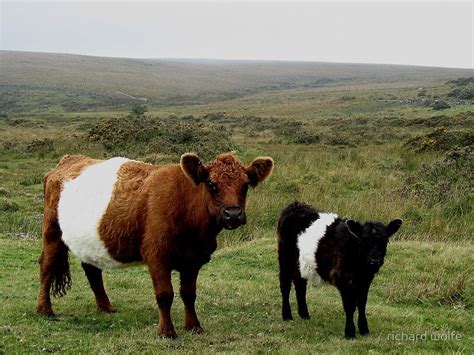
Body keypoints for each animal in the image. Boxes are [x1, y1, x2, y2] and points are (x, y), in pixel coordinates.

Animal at [36, 152, 274, 338]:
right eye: (211, 184)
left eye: (245, 186)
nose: (233, 214)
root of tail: (68, 160)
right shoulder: (157, 256)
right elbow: (165, 294)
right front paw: (167, 332)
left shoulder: (193, 260)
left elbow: (189, 294)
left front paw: (194, 327)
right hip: (52, 232)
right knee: (47, 265)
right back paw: (44, 309)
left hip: (90, 241)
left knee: (91, 269)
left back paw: (106, 307)